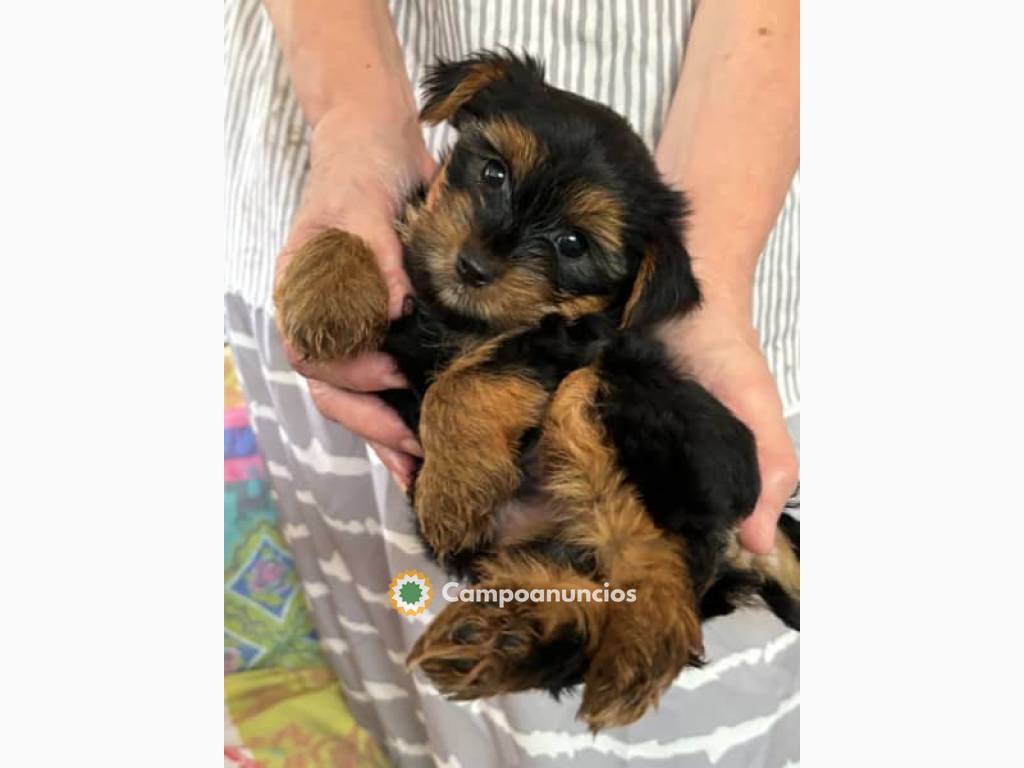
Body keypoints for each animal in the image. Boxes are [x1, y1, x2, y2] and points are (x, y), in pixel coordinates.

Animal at [274, 51, 798, 729]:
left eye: (572, 244)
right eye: (493, 173)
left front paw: (452, 487)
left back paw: (638, 644)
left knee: (656, 567)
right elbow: (364, 237)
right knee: (596, 589)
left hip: (621, 410)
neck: (460, 317)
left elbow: (471, 380)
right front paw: (327, 295)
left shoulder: (567, 343)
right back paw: (507, 636)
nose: (474, 265)